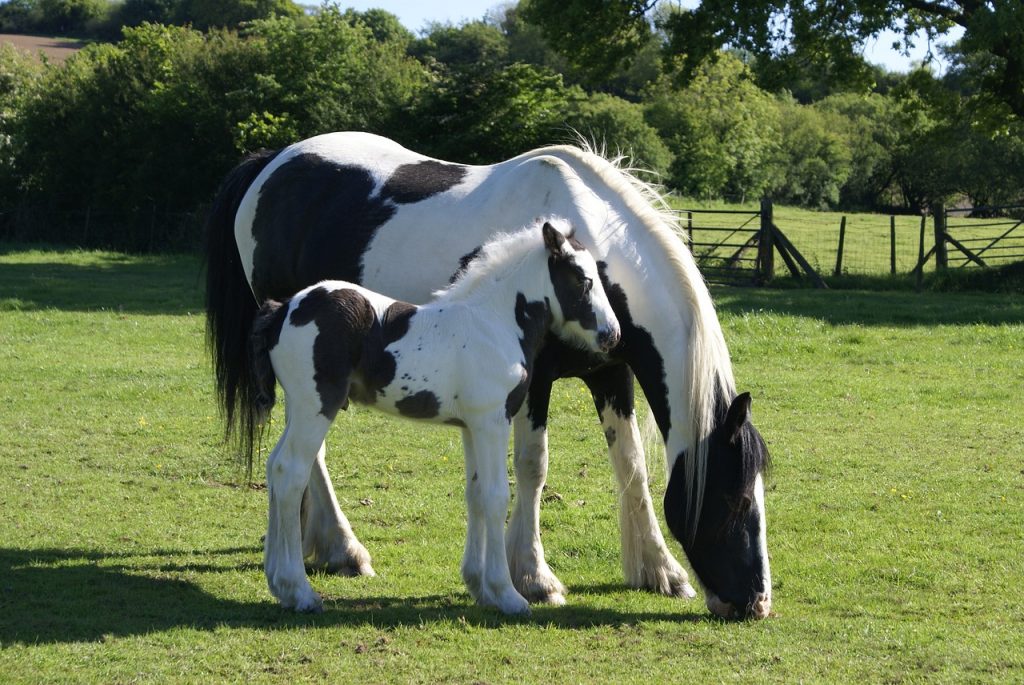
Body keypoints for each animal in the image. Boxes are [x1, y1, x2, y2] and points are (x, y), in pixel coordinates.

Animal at [251, 220, 618, 614]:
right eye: (581, 279)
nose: (612, 335)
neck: (495, 323)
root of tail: (283, 309)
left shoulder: (471, 427)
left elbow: (475, 494)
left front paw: (480, 587)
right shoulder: (492, 420)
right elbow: (495, 496)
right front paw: (507, 594)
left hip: (297, 406)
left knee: (274, 466)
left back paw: (278, 582)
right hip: (315, 406)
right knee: (290, 472)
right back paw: (299, 591)